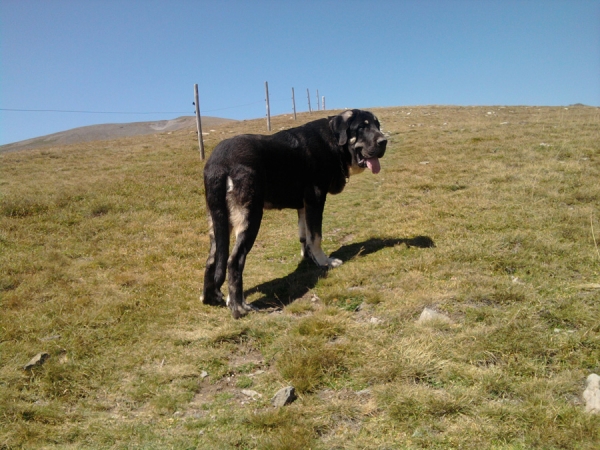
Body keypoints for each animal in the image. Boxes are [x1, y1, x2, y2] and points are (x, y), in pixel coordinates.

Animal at [203, 109, 390, 318]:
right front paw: (324, 261)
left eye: (377, 125)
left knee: (212, 260)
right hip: (250, 217)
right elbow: (316, 236)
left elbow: (304, 236)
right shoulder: (316, 199)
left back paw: (212, 297)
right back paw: (239, 307)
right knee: (234, 261)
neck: (333, 141)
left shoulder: (303, 206)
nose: (384, 141)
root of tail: (219, 162)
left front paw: (309, 258)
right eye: (362, 127)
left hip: (218, 221)